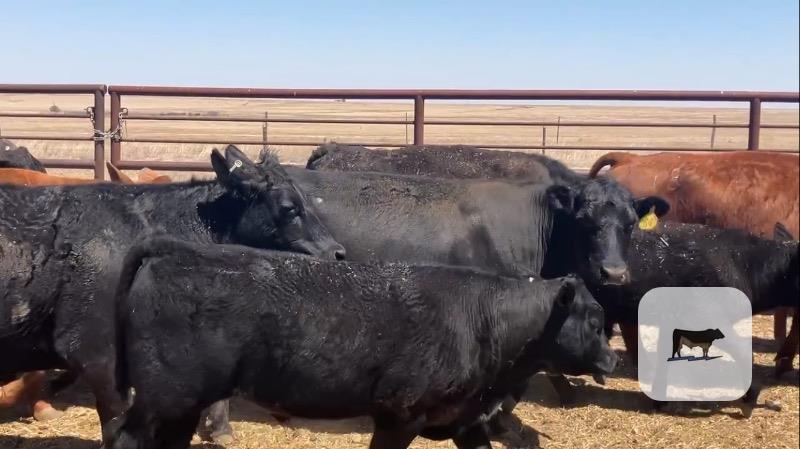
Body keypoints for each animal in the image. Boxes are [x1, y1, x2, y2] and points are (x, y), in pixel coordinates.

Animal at [106, 237, 617, 449]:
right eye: (594, 321)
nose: (613, 360)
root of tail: (177, 250)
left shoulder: (465, 423)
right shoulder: (398, 416)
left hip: (182, 403)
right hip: (165, 396)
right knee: (124, 436)